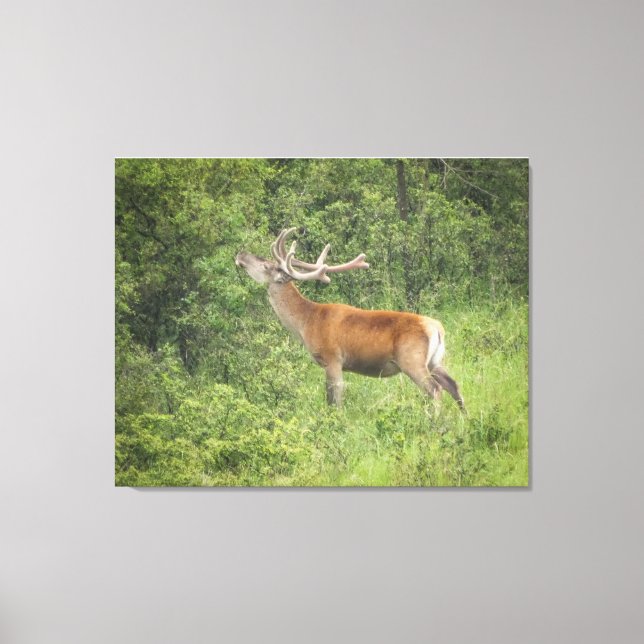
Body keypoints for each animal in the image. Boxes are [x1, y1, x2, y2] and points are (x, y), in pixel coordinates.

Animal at [235, 228, 465, 412]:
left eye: (266, 265)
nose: (241, 254)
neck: (306, 322)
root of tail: (437, 328)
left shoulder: (332, 359)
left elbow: (334, 401)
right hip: (436, 360)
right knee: (453, 385)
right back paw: (464, 420)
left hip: (412, 360)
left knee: (435, 389)